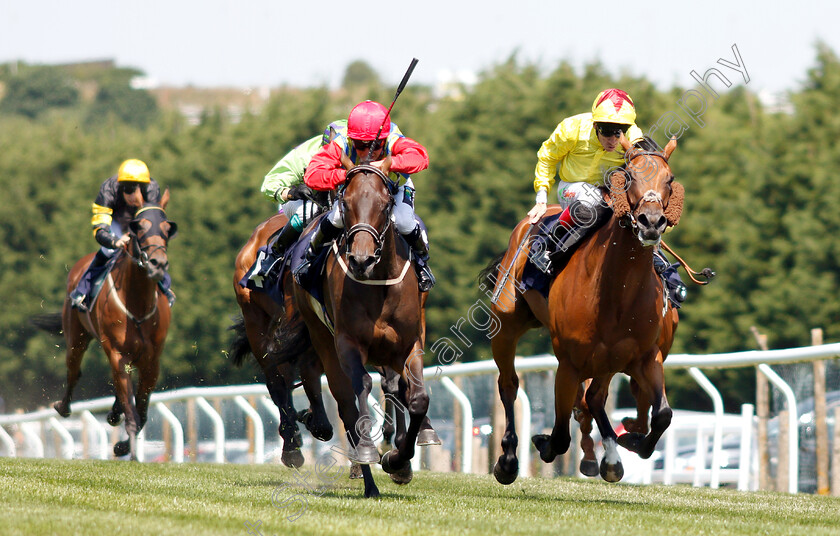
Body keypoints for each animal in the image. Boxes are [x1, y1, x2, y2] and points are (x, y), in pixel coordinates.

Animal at [32, 191, 176, 458]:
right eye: (139, 227)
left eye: (166, 228)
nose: (157, 263)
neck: (138, 305)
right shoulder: (117, 353)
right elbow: (132, 411)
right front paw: (127, 450)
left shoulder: (152, 361)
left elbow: (142, 411)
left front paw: (122, 445)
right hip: (76, 337)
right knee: (74, 370)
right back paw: (63, 406)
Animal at [290, 164, 434, 498]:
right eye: (346, 204)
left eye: (385, 204)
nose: (360, 259)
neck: (378, 283)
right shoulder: (347, 343)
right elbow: (363, 388)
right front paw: (373, 453)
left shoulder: (408, 342)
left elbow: (416, 397)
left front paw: (399, 460)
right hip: (323, 339)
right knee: (346, 407)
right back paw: (368, 482)